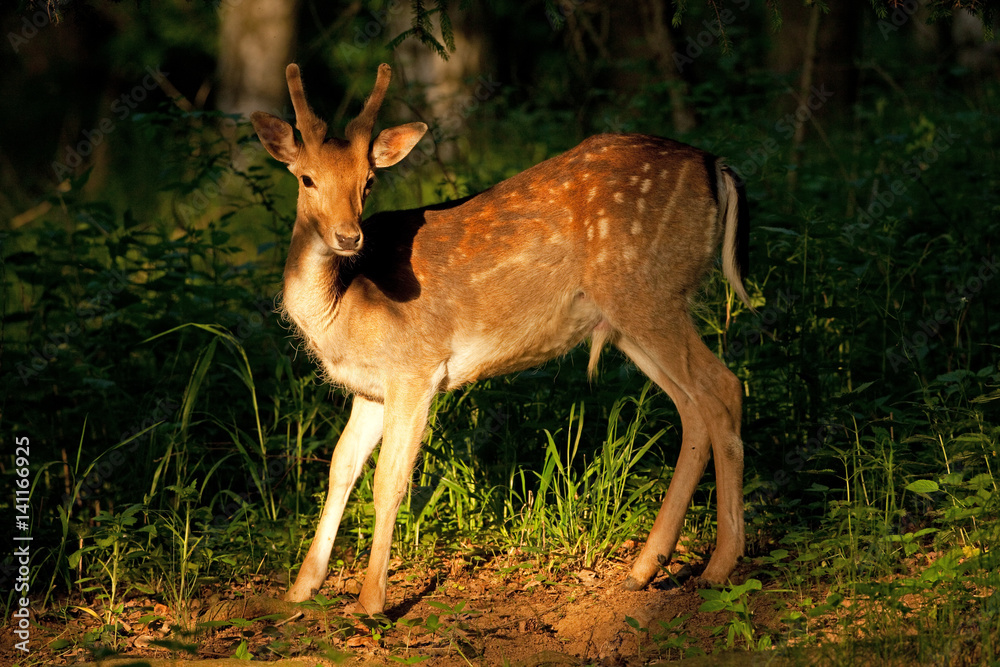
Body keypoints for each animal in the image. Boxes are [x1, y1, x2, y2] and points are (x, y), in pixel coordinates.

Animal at [250, 63, 752, 615]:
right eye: (306, 178)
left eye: (369, 180)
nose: (348, 237)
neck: (343, 305)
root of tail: (718, 167)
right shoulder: (372, 387)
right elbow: (341, 467)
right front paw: (300, 589)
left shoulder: (415, 365)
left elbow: (390, 481)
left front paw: (370, 602)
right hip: (630, 319)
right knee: (693, 408)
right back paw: (644, 571)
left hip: (648, 292)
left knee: (724, 388)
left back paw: (720, 566)